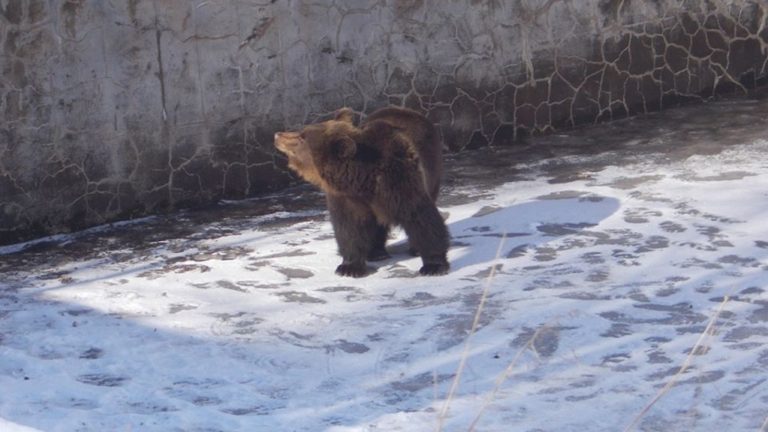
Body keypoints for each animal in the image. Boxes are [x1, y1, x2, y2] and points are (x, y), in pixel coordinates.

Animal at [274, 106, 450, 278]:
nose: (277, 135)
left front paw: (433, 265)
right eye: (301, 131)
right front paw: (349, 267)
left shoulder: (399, 181)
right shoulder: (347, 198)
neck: (362, 180)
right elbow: (349, 228)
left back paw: (413, 249)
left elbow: (420, 217)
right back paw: (376, 252)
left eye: (302, 137)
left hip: (432, 168)